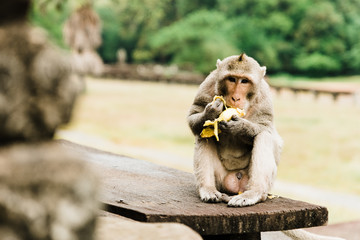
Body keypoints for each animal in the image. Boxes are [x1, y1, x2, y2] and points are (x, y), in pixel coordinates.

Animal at [187, 53, 282, 207]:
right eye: (231, 79)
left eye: (244, 81)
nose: (235, 98)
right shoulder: (209, 83)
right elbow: (194, 116)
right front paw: (212, 112)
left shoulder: (264, 95)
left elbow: (265, 127)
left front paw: (240, 127)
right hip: (221, 179)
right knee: (204, 134)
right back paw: (208, 189)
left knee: (263, 136)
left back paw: (254, 193)